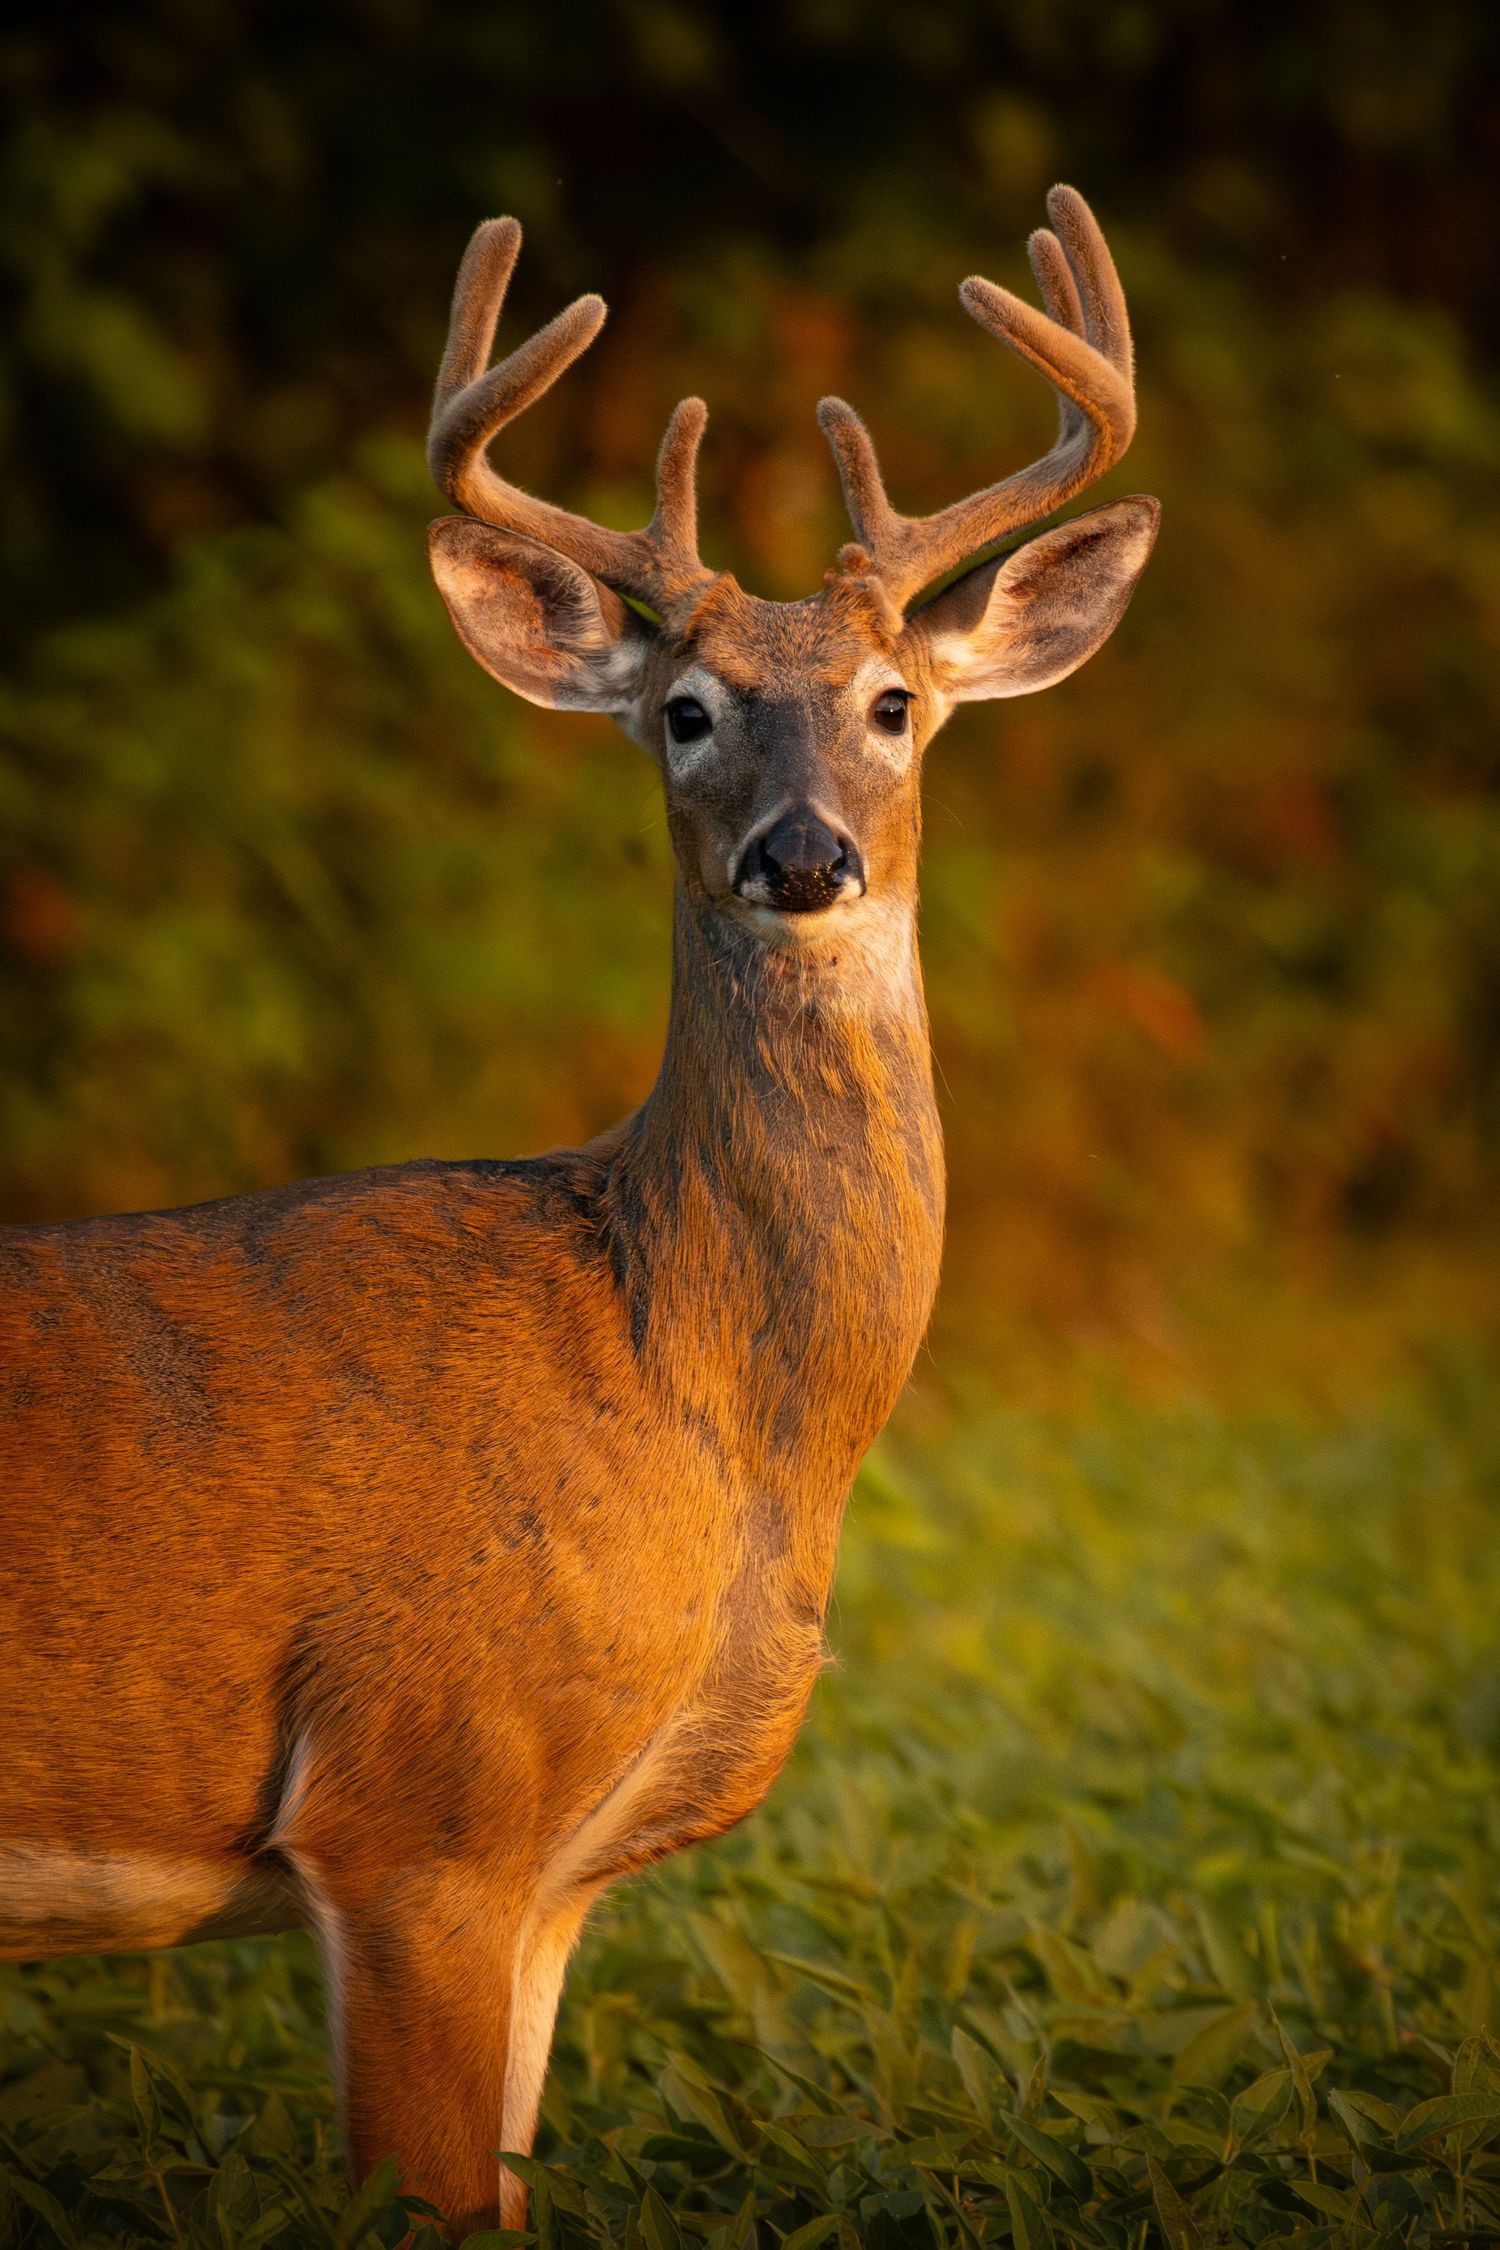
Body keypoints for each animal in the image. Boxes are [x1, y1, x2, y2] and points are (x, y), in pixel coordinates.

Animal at [0, 187, 1156, 2235]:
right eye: (684, 710)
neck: (693, 1387)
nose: (803, 852)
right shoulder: (418, 1802)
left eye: (895, 703)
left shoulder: (547, 1884)